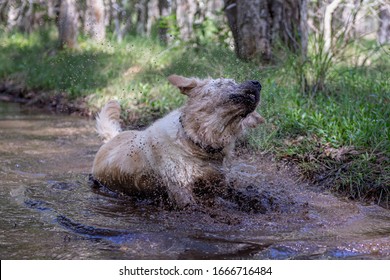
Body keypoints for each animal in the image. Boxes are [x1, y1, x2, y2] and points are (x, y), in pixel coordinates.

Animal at [90, 75, 266, 209]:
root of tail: (112, 137)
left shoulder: (217, 183)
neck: (197, 142)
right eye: (227, 82)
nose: (257, 83)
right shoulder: (180, 189)